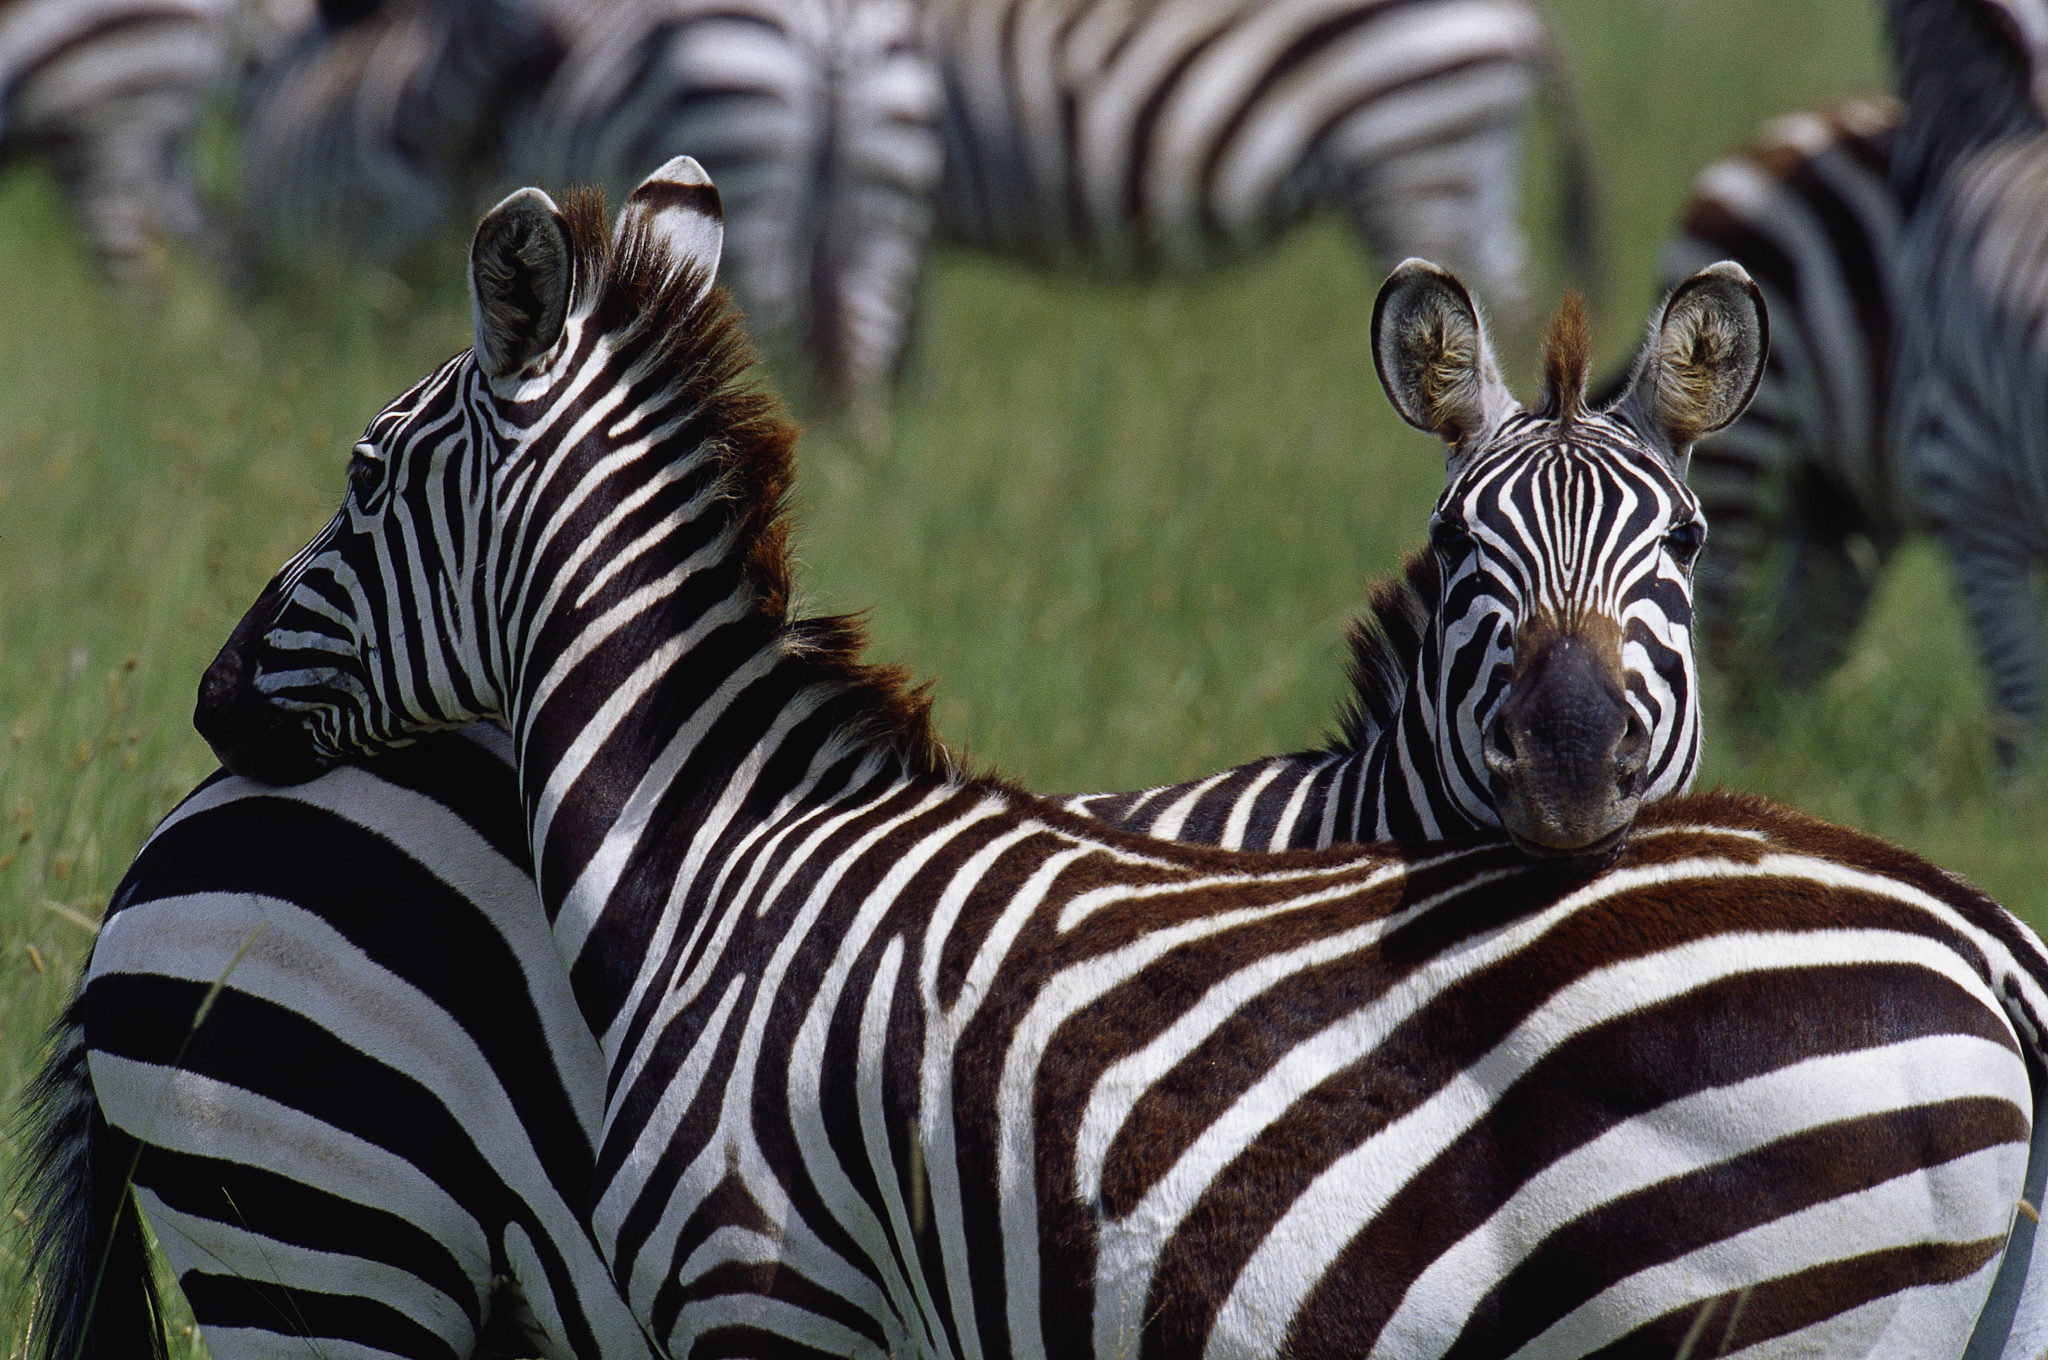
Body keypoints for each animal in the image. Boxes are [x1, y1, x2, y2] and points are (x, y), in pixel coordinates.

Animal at [143, 158, 2048, 1356]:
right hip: (330, 1246)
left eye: (362, 477)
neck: (721, 849)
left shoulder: (780, 1286)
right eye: (1459, 552)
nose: (213, 695)